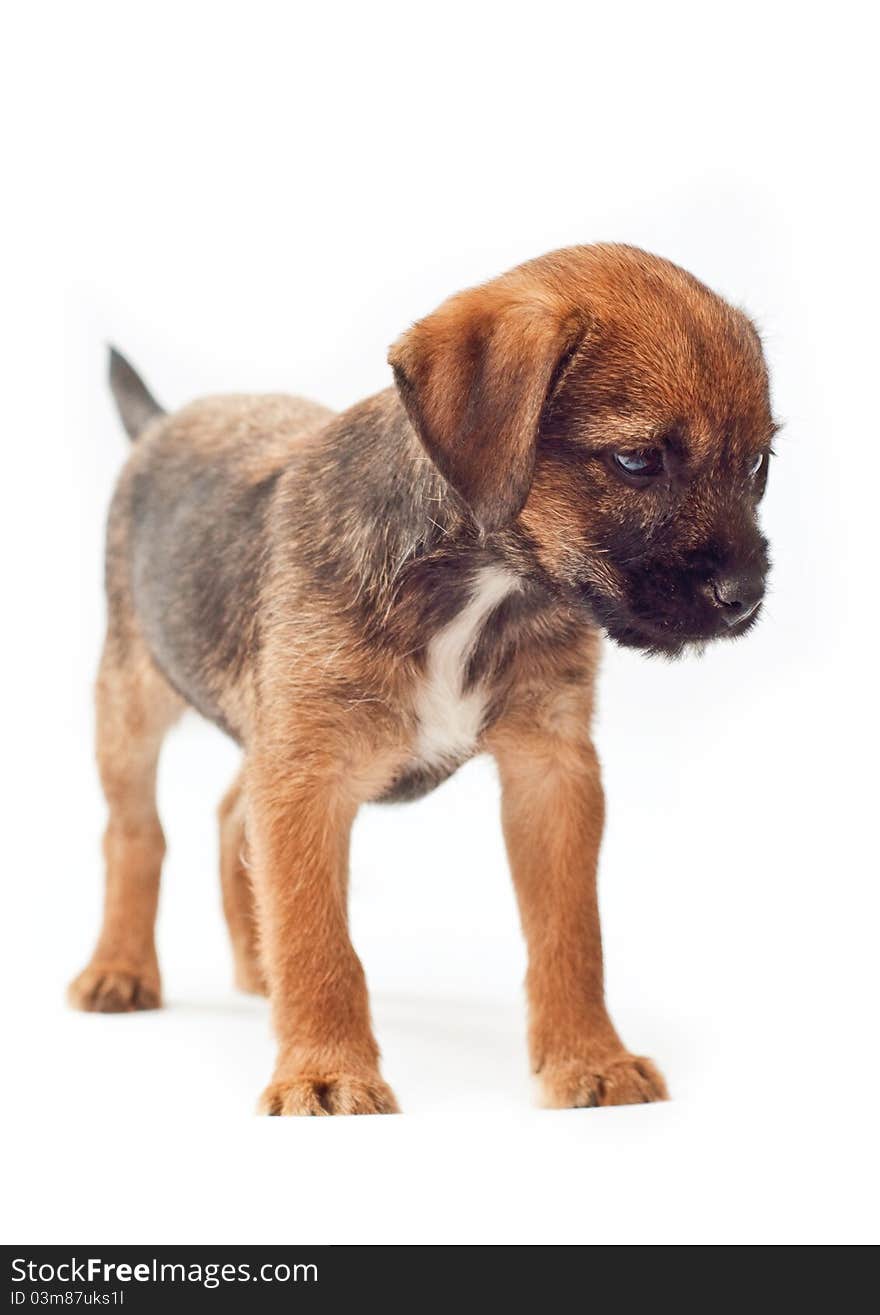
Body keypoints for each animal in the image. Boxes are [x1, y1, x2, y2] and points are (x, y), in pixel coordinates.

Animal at [68, 244, 773, 1109]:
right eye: (638, 460)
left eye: (759, 463)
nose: (745, 595)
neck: (480, 583)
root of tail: (162, 422)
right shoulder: (308, 776)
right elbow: (319, 939)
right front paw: (326, 1068)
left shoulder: (552, 771)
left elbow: (571, 934)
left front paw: (590, 1057)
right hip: (131, 697)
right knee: (135, 832)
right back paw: (121, 967)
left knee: (233, 812)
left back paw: (256, 965)